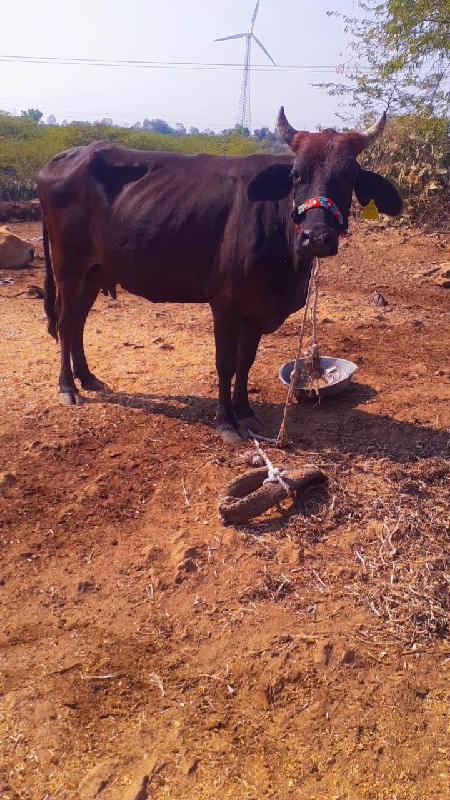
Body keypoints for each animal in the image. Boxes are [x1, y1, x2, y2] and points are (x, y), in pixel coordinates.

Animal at [37, 107, 400, 444]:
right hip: (68, 267)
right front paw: (226, 421)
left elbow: (245, 361)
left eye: (350, 176)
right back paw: (68, 387)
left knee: (78, 323)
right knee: (66, 322)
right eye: (296, 174)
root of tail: (62, 158)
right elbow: (225, 362)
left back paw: (88, 378)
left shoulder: (255, 310)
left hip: (94, 272)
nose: (317, 237)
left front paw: (245, 412)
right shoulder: (225, 303)